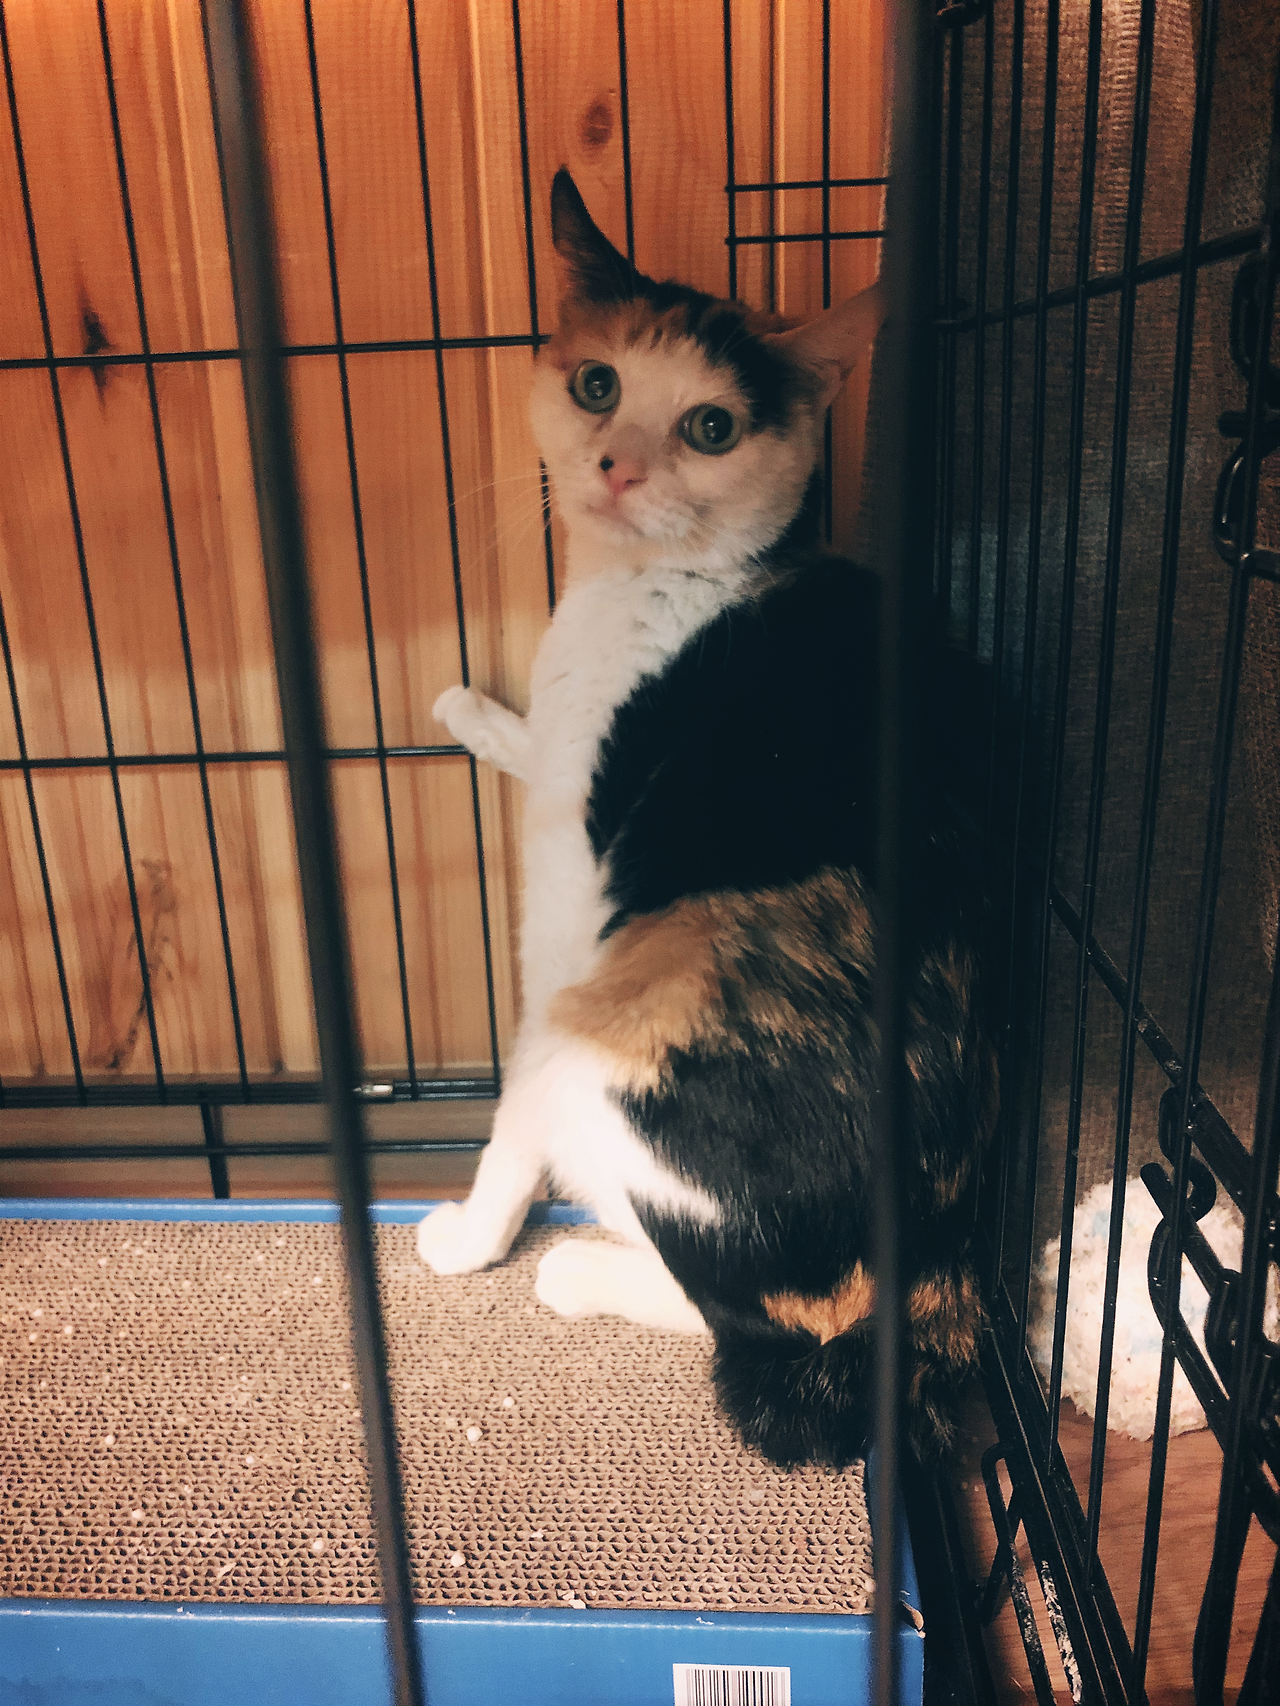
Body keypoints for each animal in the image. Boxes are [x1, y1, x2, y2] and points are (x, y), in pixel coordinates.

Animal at [417, 168, 996, 1467]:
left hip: (597, 1030)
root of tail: (934, 1273)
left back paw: (570, 1269)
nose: (617, 464)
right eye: (597, 385)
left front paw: (472, 1234)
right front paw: (475, 708)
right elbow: (535, 734)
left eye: (710, 428)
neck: (649, 584)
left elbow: (507, 1127)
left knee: (740, 1312)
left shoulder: (565, 901)